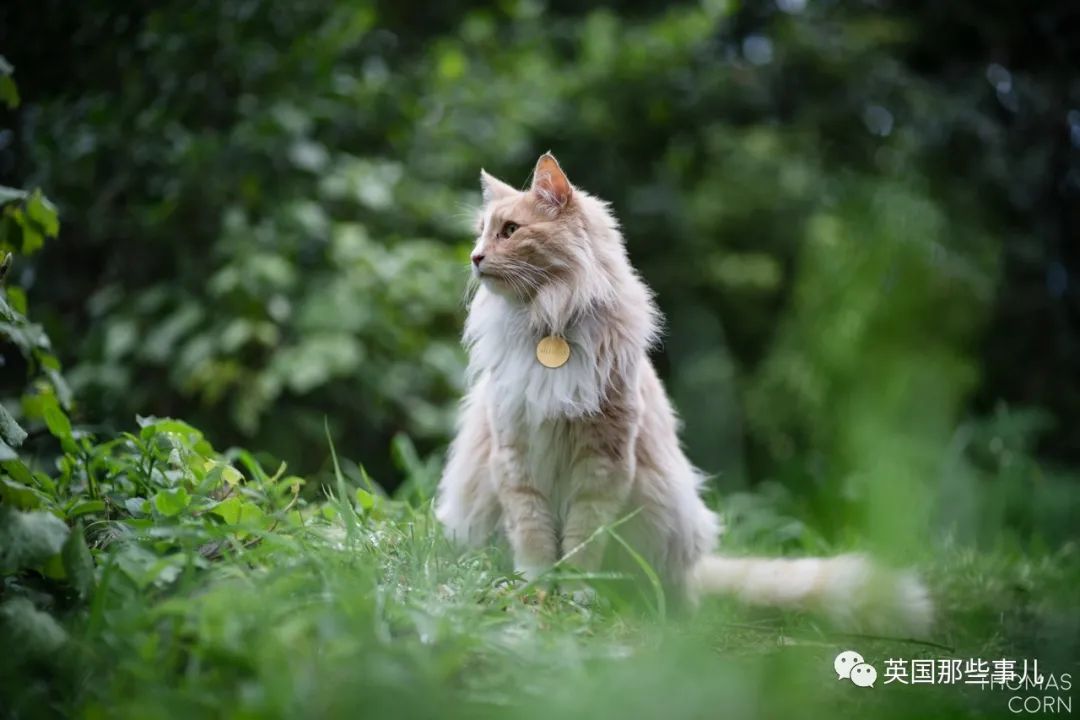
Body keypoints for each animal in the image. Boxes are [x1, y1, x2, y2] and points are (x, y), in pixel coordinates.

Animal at [434, 153, 933, 634]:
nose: (475, 256)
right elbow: (534, 537)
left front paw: (575, 594)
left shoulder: (601, 465)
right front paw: (533, 588)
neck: (548, 320)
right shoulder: (516, 456)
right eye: (481, 233)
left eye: (510, 231)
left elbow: (581, 544)